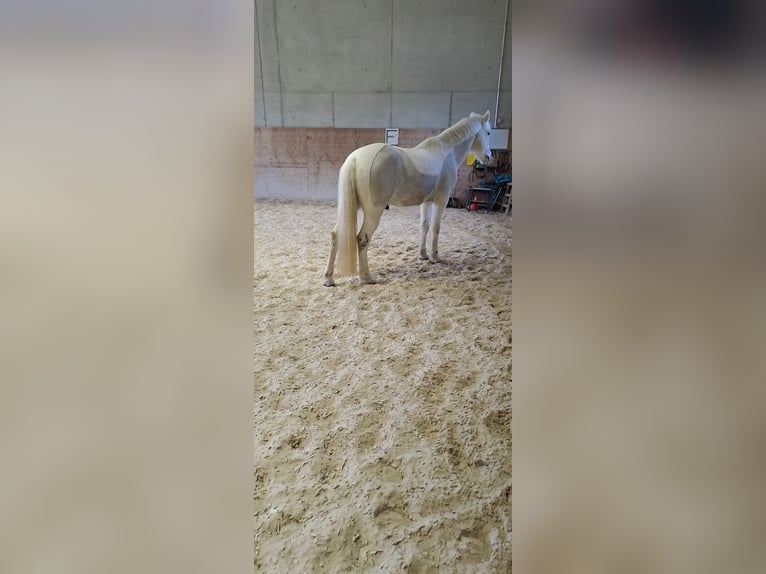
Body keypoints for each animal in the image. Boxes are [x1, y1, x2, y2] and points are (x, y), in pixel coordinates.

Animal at [323, 111, 493, 287]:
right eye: (488, 133)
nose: (488, 157)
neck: (446, 152)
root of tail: (355, 159)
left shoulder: (426, 202)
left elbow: (424, 226)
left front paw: (423, 255)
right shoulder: (441, 201)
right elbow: (436, 228)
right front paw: (435, 257)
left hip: (351, 207)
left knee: (336, 235)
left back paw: (329, 278)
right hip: (373, 212)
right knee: (362, 239)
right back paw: (367, 277)